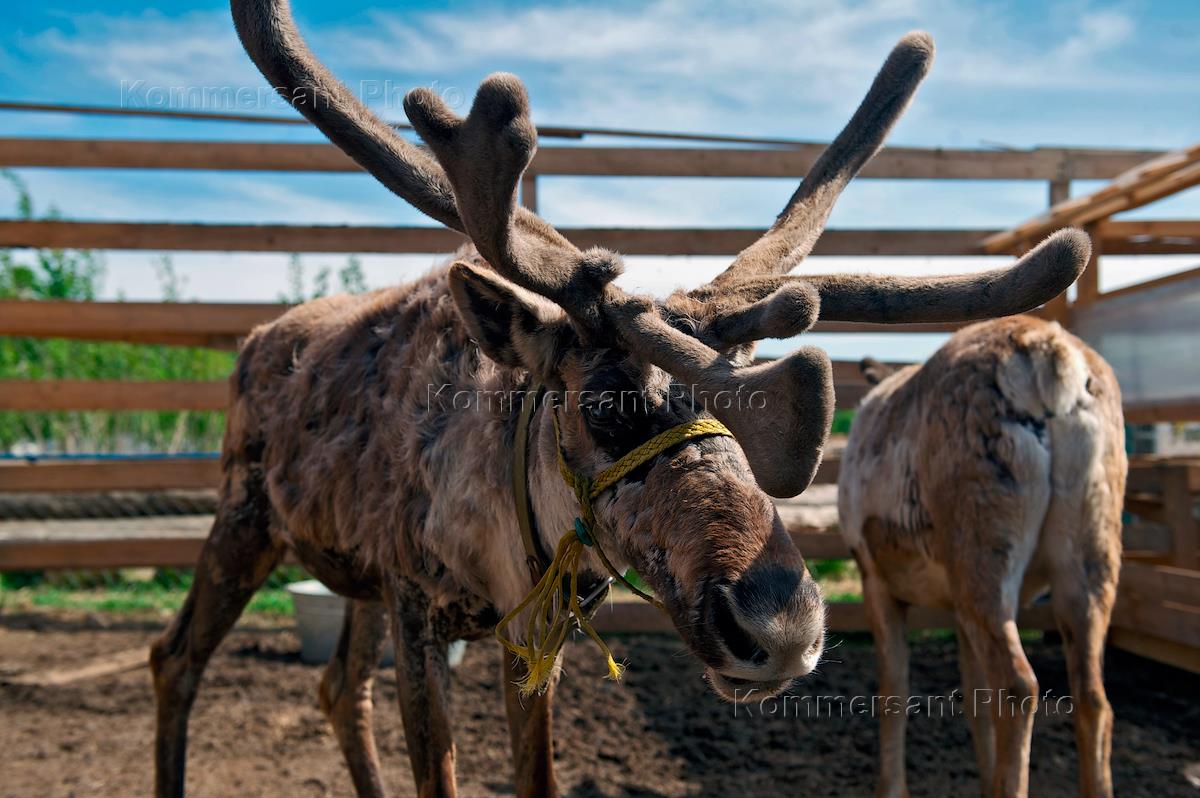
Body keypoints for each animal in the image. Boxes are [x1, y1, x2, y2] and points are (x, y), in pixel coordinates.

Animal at [150, 2, 1090, 795]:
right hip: (245, 515)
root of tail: (256, 340)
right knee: (175, 658)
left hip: (351, 577)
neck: (506, 536)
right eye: (600, 409)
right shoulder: (418, 609)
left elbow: (536, 778)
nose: (782, 628)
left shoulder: (530, 637)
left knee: (340, 688)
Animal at [838, 316, 1126, 798]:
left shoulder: (873, 576)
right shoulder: (955, 607)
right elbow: (975, 700)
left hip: (981, 546)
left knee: (1018, 686)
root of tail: (1047, 353)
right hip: (1091, 548)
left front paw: (891, 788)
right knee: (1092, 694)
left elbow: (893, 690)